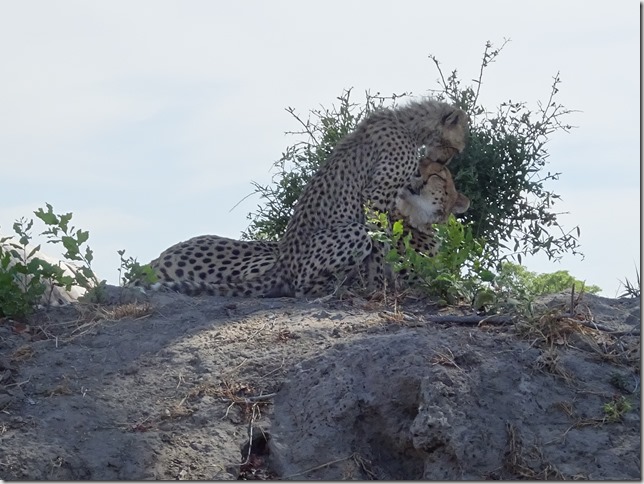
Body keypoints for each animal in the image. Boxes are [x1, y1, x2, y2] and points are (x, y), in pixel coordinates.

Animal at [145, 98, 469, 298]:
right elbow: (382, 244)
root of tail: (283, 265)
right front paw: (378, 283)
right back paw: (336, 287)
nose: (441, 161)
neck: (407, 124)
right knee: (302, 286)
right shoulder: (375, 198)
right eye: (454, 149)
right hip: (351, 233)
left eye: (439, 169)